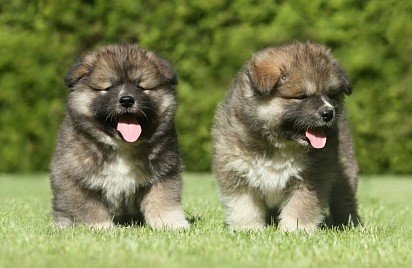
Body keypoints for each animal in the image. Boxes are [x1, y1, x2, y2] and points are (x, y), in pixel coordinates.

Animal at [49, 44, 188, 228]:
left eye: (140, 86)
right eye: (108, 88)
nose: (127, 100)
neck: (123, 146)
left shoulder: (164, 173)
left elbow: (163, 199)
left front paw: (171, 223)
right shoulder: (76, 179)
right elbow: (88, 207)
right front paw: (101, 226)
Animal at [212, 40, 360, 231]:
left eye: (331, 95)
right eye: (302, 96)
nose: (329, 113)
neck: (280, 144)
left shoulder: (311, 177)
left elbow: (300, 206)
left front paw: (295, 229)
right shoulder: (238, 172)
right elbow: (244, 206)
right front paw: (248, 228)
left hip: (345, 173)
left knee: (345, 200)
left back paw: (349, 223)